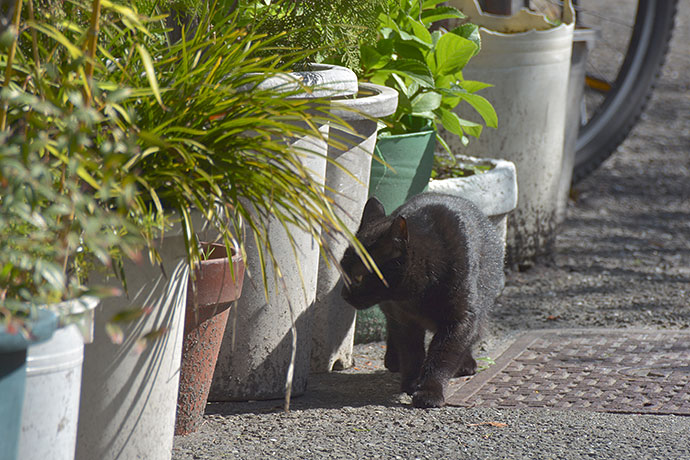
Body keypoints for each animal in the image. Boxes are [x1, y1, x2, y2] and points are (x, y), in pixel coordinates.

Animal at [342, 192, 502, 408]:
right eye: (342, 269)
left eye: (358, 277)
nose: (343, 294)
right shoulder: (403, 318)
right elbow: (411, 352)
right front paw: (411, 383)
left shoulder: (461, 319)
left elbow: (442, 356)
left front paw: (429, 392)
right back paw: (393, 360)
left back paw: (466, 364)